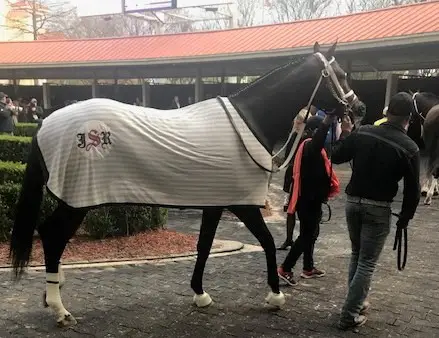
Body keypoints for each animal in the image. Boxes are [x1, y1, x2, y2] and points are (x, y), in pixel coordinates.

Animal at [9, 41, 360, 328]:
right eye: (341, 74)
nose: (360, 108)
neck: (250, 122)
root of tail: (44, 124)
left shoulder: (215, 203)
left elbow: (203, 246)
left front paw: (200, 294)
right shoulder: (243, 204)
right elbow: (268, 242)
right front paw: (274, 296)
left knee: (49, 235)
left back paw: (53, 293)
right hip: (77, 201)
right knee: (53, 237)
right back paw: (60, 310)